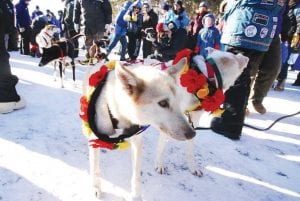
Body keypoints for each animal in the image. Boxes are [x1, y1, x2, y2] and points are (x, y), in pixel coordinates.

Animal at [81, 57, 196, 200]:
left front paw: (136, 196)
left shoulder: (137, 141)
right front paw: (96, 188)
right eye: (163, 103)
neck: (120, 113)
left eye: (178, 102)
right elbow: (95, 169)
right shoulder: (95, 139)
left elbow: (136, 176)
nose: (192, 133)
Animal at [154, 48, 250, 177]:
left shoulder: (192, 121)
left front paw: (193, 167)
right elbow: (161, 147)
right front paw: (159, 165)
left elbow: (190, 148)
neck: (206, 77)